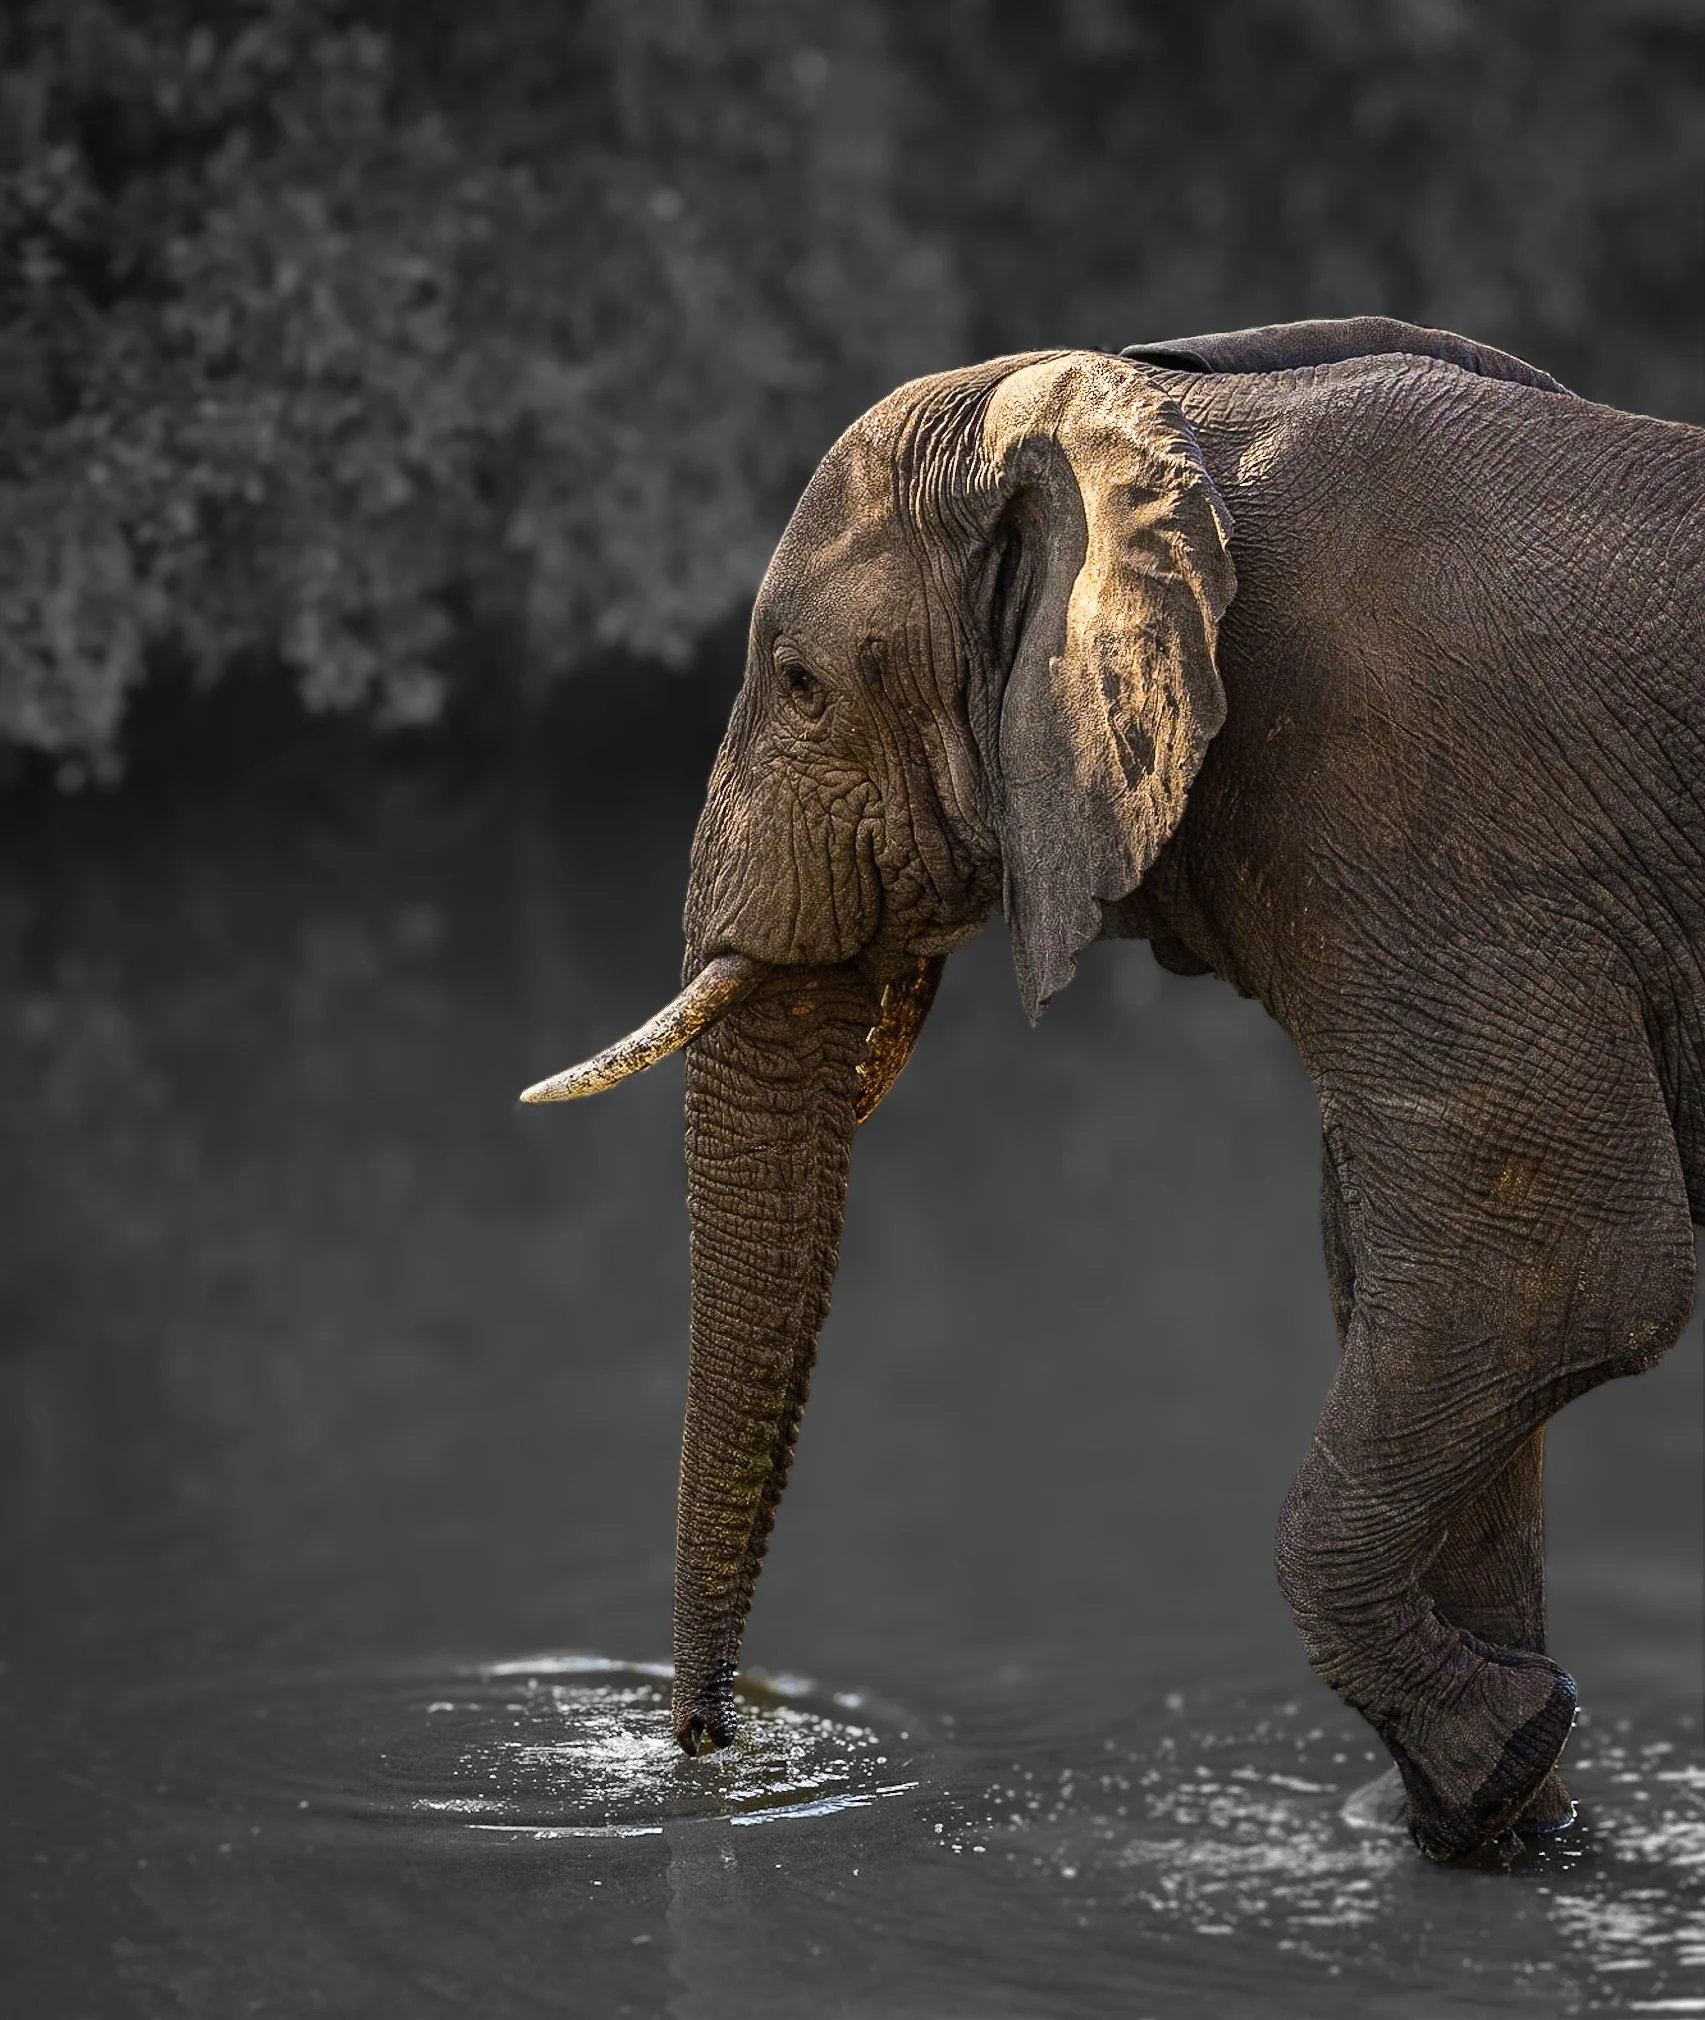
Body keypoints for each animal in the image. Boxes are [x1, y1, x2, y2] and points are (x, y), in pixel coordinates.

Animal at [522, 317, 1705, 1861]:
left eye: (799, 684)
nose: (712, 1751)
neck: (1158, 424)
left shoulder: (1431, 818)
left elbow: (1557, 1273)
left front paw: (1495, 1753)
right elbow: (1423, 1299)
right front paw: (1508, 1820)